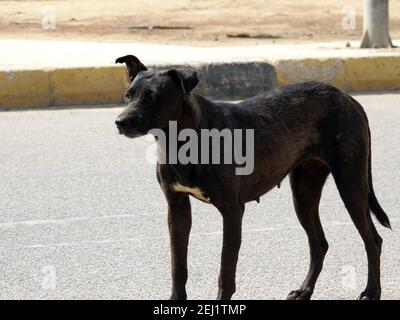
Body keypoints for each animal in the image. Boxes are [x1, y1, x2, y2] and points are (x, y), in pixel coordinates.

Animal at [114, 55, 390, 300]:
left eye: (154, 97)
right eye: (128, 95)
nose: (120, 121)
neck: (184, 139)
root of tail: (348, 98)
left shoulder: (232, 211)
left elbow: (226, 270)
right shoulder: (177, 208)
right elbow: (178, 266)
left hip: (351, 187)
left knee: (373, 240)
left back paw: (371, 291)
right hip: (304, 193)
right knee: (319, 244)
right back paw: (304, 291)